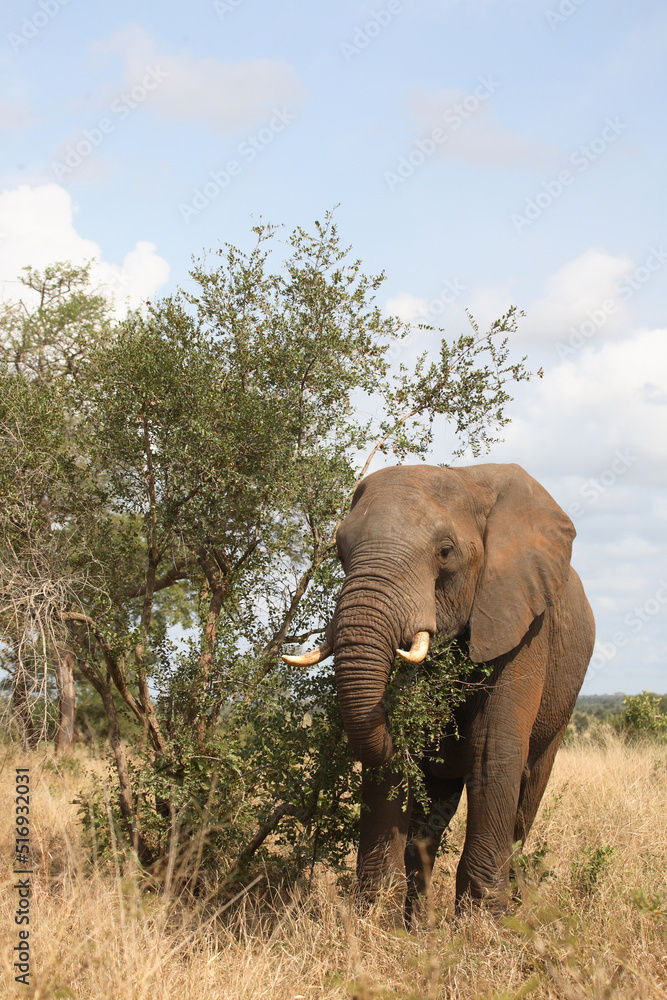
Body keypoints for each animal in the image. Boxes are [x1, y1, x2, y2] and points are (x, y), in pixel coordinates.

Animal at [283, 463, 595, 917]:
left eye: (445, 552)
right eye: (339, 551)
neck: (469, 481)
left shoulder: (523, 624)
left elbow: (493, 750)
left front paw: (485, 925)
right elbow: (392, 759)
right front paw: (374, 917)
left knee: (527, 796)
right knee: (431, 820)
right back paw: (418, 922)